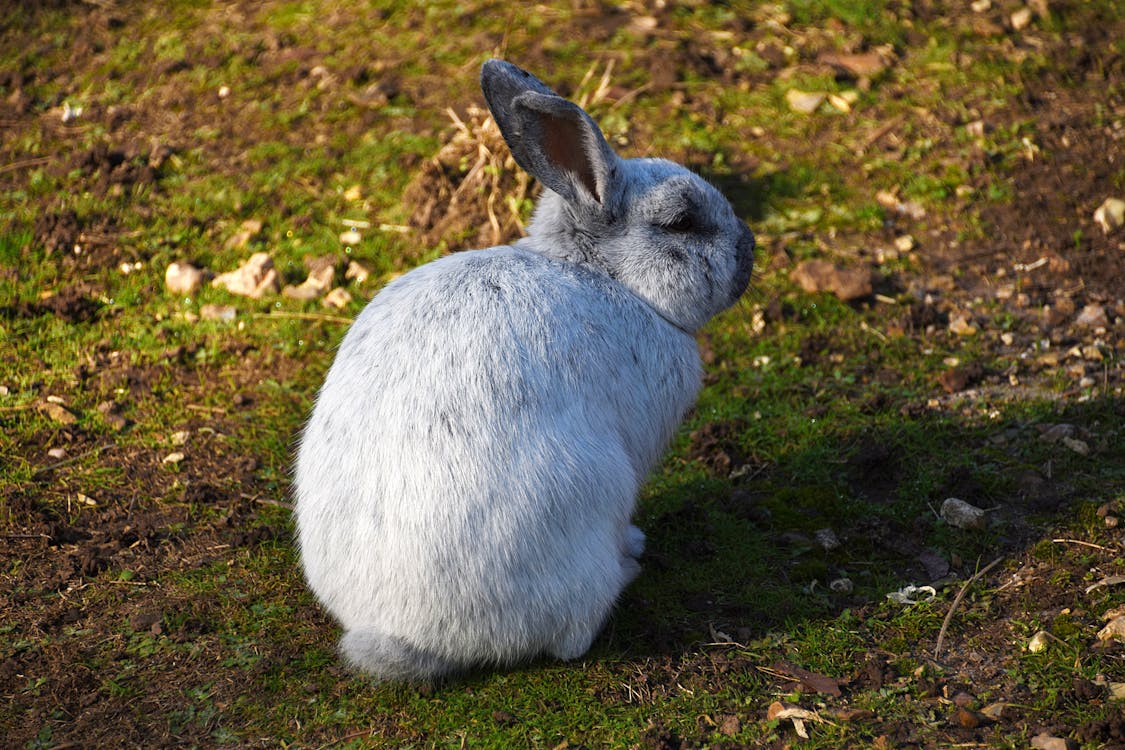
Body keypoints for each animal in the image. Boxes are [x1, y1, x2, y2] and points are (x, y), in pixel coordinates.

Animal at [294, 59, 755, 682]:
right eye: (682, 222)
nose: (748, 250)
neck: (606, 277)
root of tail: (405, 635)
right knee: (572, 637)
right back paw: (628, 564)